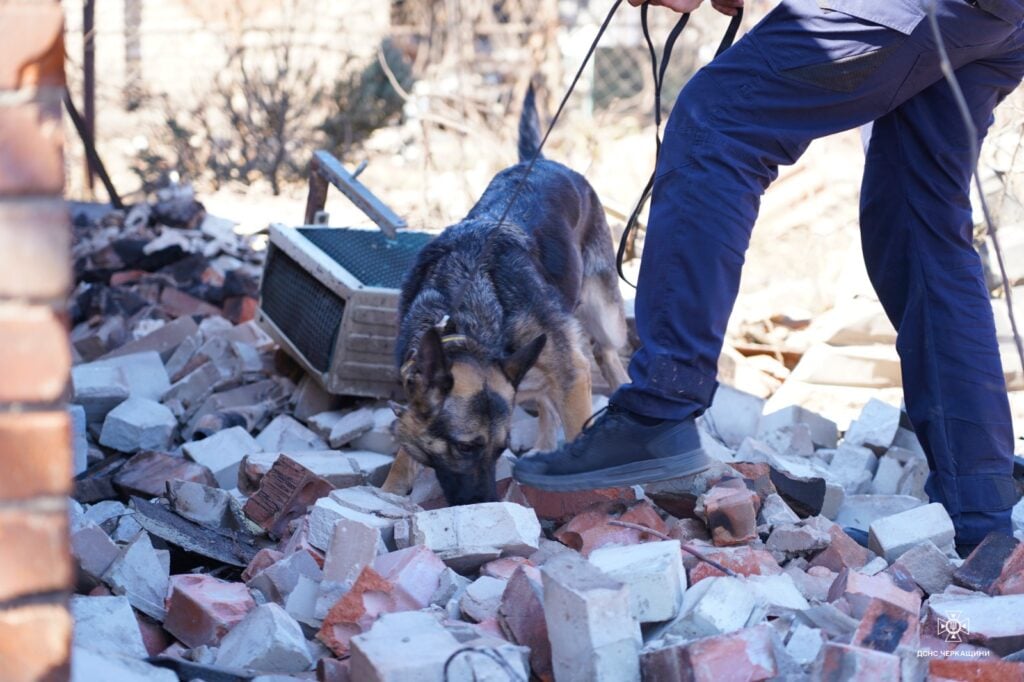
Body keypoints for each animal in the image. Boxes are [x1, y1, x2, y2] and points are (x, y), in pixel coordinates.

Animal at [380, 86, 626, 503]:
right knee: (546, 398)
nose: (486, 503)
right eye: (466, 447)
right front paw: (388, 491)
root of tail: (538, 160)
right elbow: (403, 459)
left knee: (607, 352)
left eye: (501, 450)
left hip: (602, 316)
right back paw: (545, 446)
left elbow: (578, 425)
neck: (465, 317)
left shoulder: (572, 372)